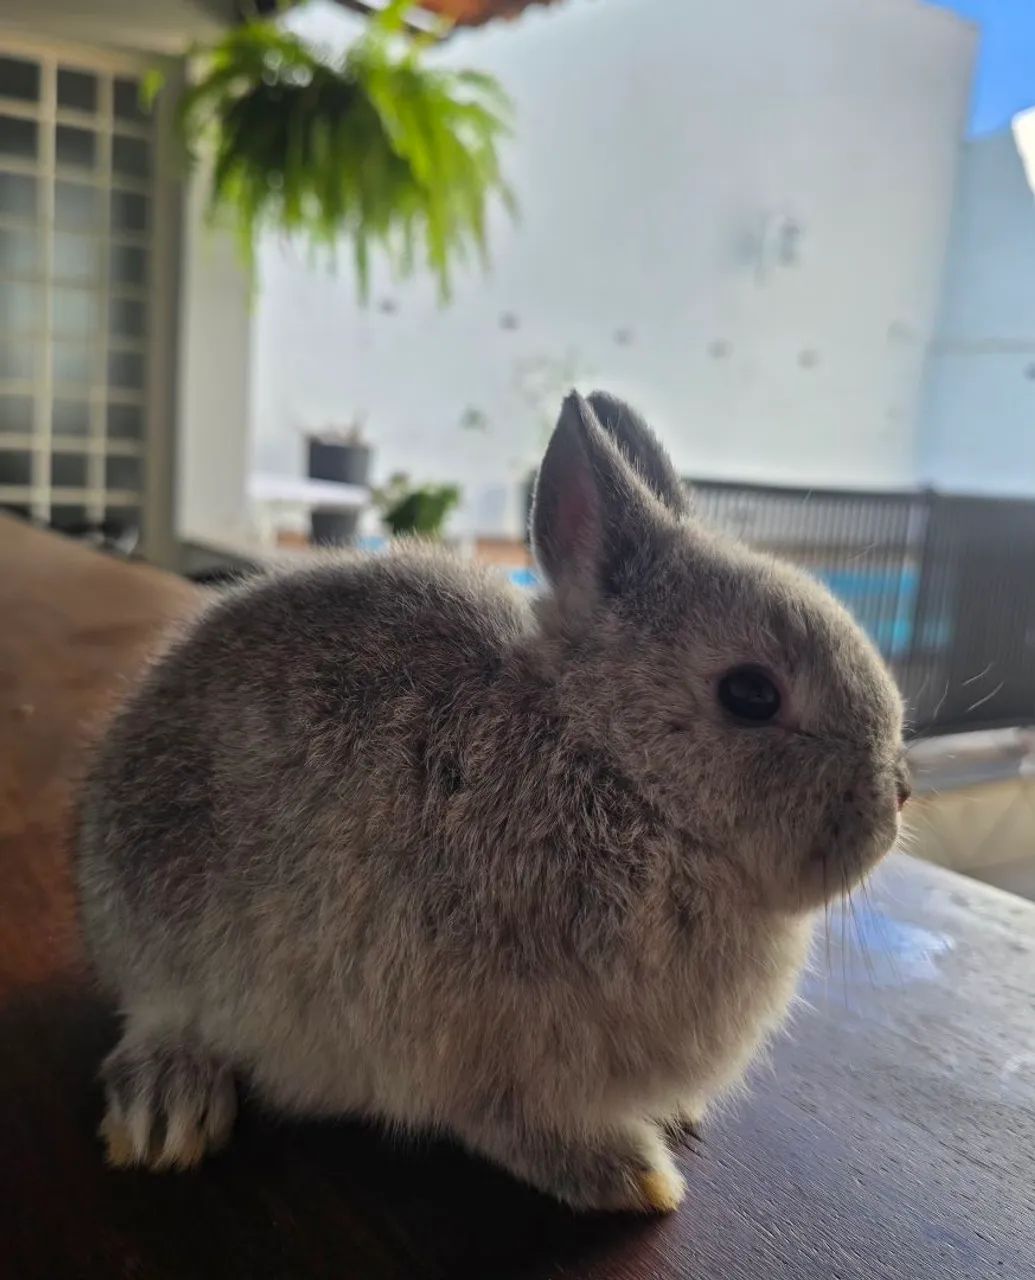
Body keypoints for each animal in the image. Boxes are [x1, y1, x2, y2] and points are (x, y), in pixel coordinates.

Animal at [75, 390, 908, 1213]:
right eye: (750, 694)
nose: (895, 792)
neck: (613, 768)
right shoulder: (465, 1039)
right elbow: (507, 1120)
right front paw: (631, 1176)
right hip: (168, 930)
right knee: (155, 1019)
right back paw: (166, 1109)